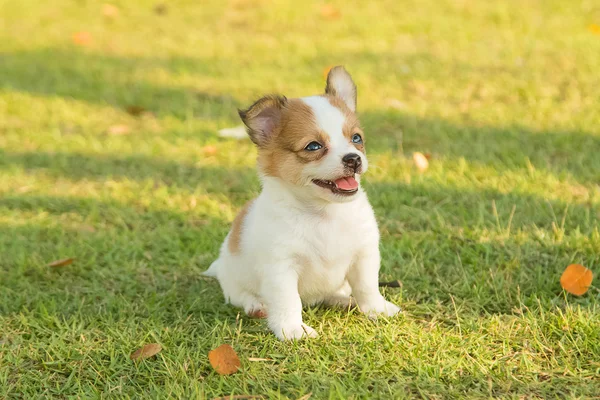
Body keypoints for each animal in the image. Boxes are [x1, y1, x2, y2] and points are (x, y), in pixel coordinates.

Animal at [204, 66, 400, 340]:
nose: (354, 159)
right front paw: (293, 330)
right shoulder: (281, 269)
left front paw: (377, 309)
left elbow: (367, 286)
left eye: (356, 139)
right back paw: (256, 305)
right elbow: (288, 301)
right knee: (240, 295)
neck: (325, 214)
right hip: (234, 282)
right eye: (314, 146)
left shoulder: (364, 256)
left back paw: (343, 300)